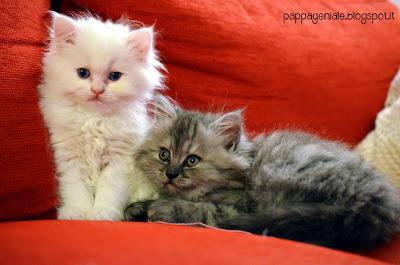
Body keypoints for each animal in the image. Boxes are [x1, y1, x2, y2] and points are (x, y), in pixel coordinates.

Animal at [37, 11, 162, 219]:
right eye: (83, 73)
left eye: (114, 76)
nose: (97, 90)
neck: (94, 120)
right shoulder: (69, 156)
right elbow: (76, 190)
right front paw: (77, 213)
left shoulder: (120, 159)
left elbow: (110, 191)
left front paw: (103, 213)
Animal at [125, 97, 400, 250]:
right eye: (164, 154)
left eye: (192, 160)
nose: (170, 174)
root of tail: (376, 201)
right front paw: (137, 208)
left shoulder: (239, 204)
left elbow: (201, 209)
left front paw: (161, 209)